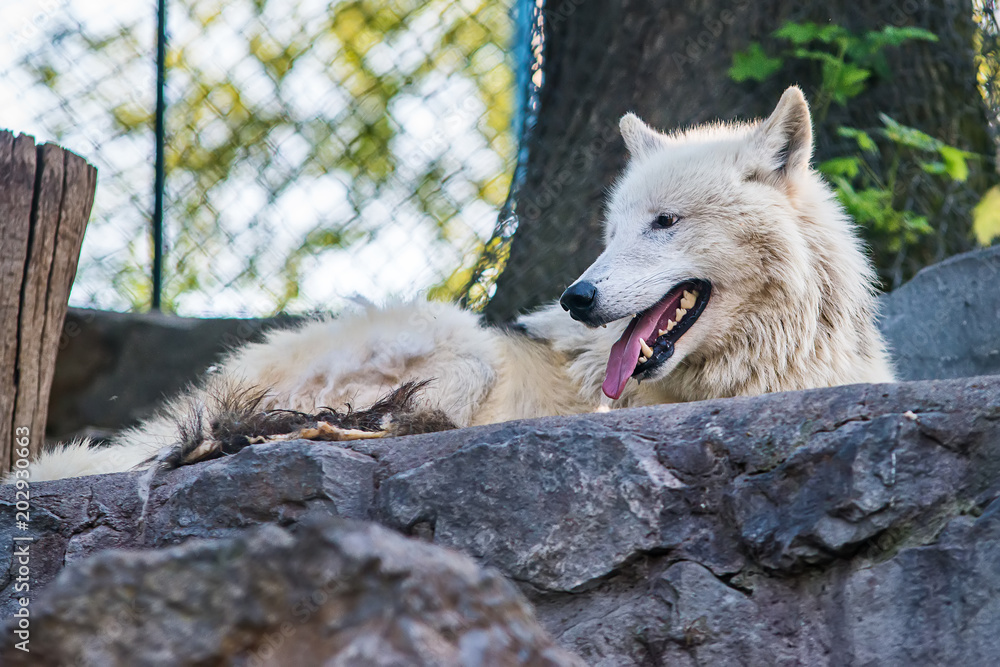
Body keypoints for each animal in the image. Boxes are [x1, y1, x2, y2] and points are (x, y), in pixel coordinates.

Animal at [26, 86, 894, 481]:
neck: (774, 365)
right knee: (292, 432)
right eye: (613, 231)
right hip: (459, 338)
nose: (577, 298)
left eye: (664, 222)